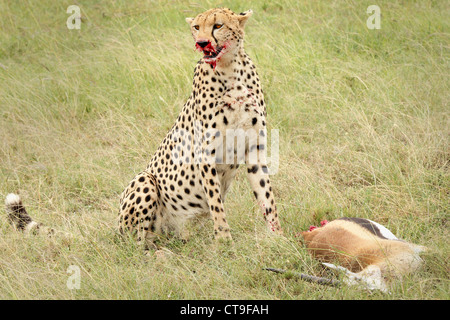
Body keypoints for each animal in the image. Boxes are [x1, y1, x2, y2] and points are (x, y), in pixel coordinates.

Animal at [4, 8, 282, 248]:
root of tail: (115, 231)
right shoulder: (206, 153)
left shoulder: (254, 149)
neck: (230, 70)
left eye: (218, 25)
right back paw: (159, 255)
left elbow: (267, 197)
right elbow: (216, 204)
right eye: (196, 27)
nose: (203, 43)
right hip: (144, 181)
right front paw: (225, 241)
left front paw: (278, 237)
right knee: (136, 245)